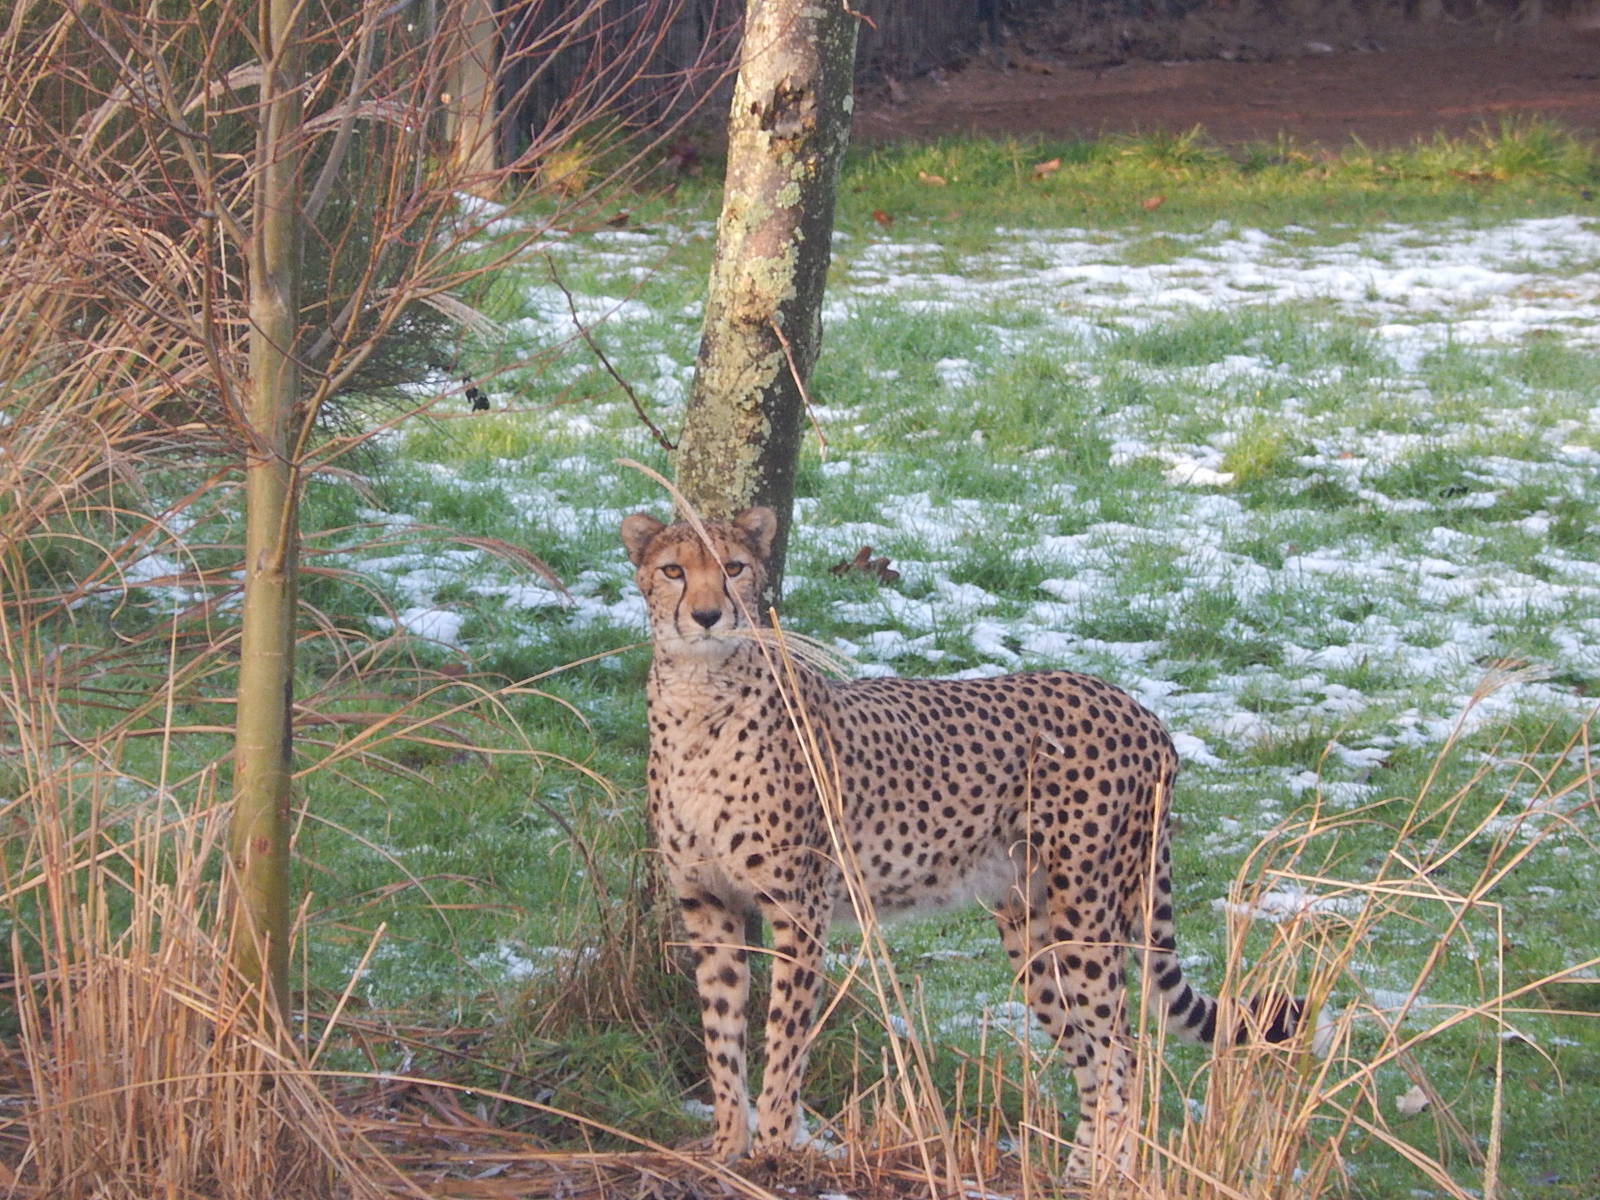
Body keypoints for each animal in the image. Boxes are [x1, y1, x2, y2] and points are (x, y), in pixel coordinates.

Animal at [621, 505, 1301, 1180]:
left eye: (734, 567)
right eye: (674, 570)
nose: (708, 615)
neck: (699, 695)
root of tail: (1141, 709)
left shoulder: (798, 909)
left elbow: (786, 1037)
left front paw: (775, 1147)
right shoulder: (708, 906)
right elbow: (721, 1033)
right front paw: (727, 1143)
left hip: (1086, 916)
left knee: (1121, 1052)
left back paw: (1113, 1174)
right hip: (1032, 930)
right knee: (1088, 1052)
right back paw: (1078, 1172)